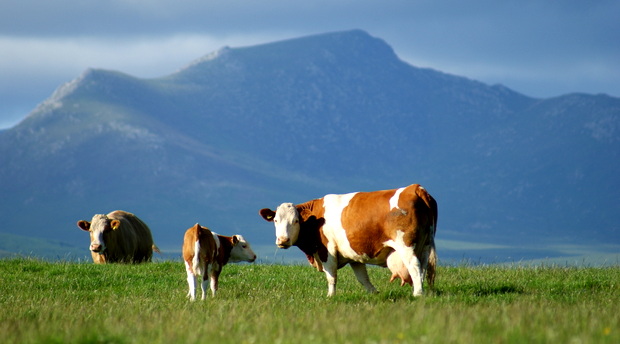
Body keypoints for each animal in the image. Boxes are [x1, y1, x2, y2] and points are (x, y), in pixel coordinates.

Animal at [260, 184, 438, 296]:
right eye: (275, 220)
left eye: (295, 221)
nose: (283, 240)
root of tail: (415, 188)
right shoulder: (354, 255)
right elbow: (363, 278)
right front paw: (375, 294)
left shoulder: (327, 251)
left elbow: (331, 276)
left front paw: (330, 296)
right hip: (425, 244)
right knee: (422, 267)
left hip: (406, 245)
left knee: (414, 266)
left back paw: (417, 293)